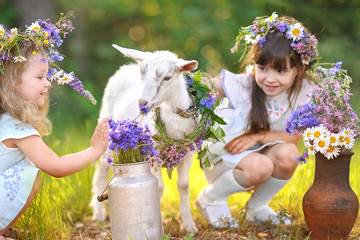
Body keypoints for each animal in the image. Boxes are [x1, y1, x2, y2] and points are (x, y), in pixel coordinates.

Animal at [90, 44, 200, 232]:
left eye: (167, 77)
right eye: (142, 73)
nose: (142, 103)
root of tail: (124, 68)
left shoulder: (187, 151)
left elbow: (184, 185)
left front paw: (189, 225)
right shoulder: (152, 152)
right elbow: (159, 187)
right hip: (106, 132)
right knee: (101, 172)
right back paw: (98, 214)